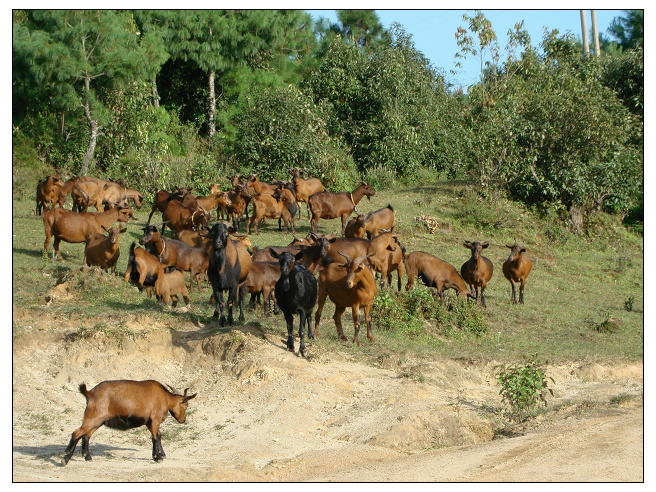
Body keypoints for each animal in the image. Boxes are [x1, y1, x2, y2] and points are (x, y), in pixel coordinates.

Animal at [62, 380, 196, 466]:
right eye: (186, 405)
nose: (183, 420)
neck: (165, 397)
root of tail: (89, 392)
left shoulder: (149, 422)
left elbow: (158, 435)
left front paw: (161, 454)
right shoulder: (155, 419)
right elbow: (155, 437)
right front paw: (157, 457)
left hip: (98, 420)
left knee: (86, 435)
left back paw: (88, 457)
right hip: (94, 416)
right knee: (77, 433)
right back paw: (65, 458)